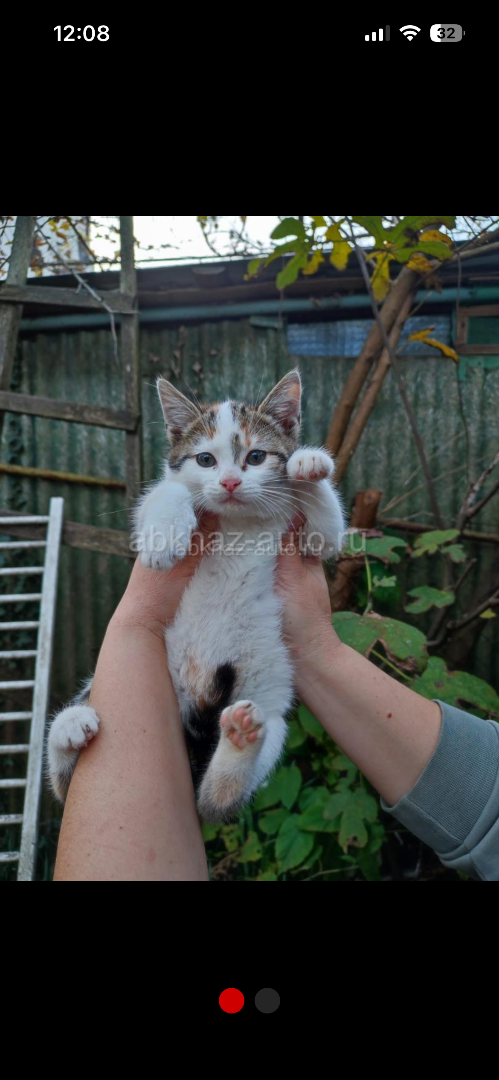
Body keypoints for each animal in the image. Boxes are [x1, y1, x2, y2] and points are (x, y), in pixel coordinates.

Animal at [47, 369, 345, 821]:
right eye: (205, 460)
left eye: (256, 457)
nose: (230, 481)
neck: (239, 524)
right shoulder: (160, 494)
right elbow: (166, 493)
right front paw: (166, 535)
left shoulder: (312, 545)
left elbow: (326, 533)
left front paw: (309, 465)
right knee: (64, 788)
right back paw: (68, 728)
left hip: (271, 714)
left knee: (212, 802)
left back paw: (238, 743)